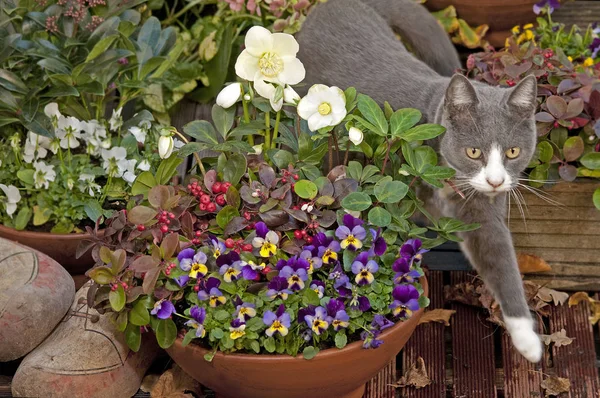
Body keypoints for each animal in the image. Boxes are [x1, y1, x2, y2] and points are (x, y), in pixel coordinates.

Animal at [296, 0, 544, 362]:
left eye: (513, 152)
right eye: (473, 151)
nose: (496, 181)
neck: (446, 183)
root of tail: (339, 3)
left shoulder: (481, 210)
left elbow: (500, 258)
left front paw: (528, 341)